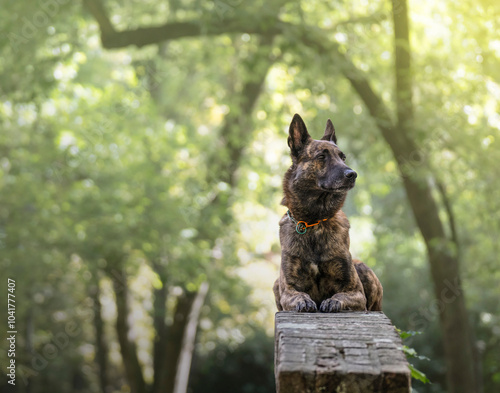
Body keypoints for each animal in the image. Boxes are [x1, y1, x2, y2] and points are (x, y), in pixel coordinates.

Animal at [274, 113, 382, 312]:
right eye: (322, 156)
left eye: (343, 157)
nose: (352, 174)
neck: (314, 221)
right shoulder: (287, 289)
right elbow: (297, 295)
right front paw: (303, 300)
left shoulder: (356, 291)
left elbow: (342, 295)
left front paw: (333, 301)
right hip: (276, 283)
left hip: (362, 267)